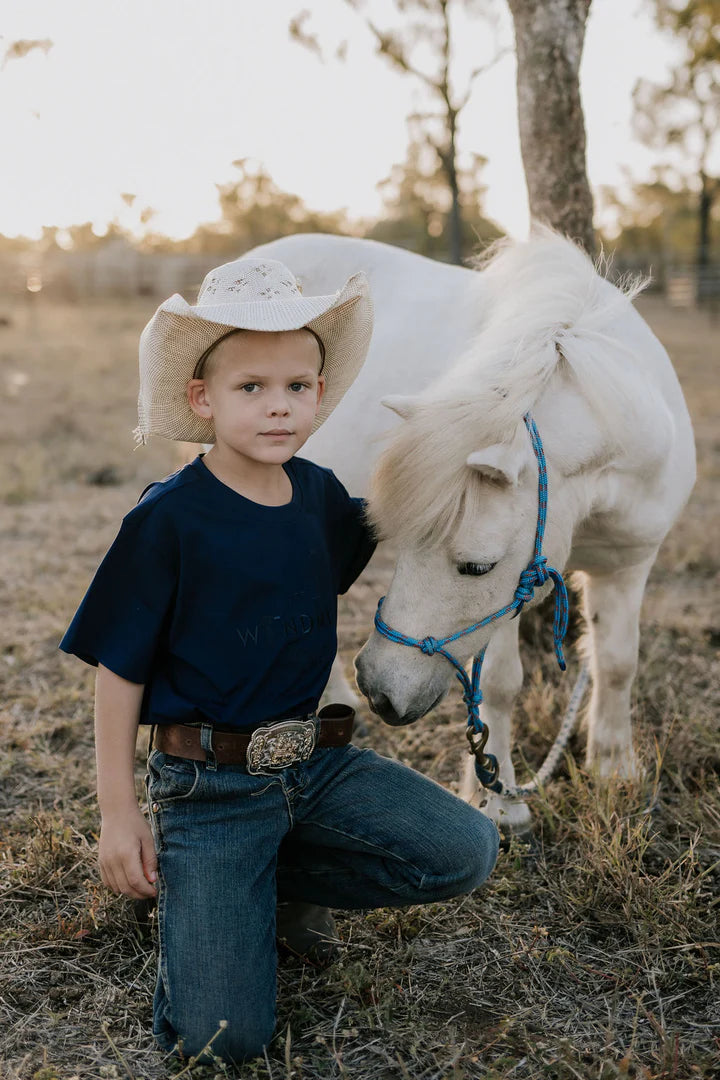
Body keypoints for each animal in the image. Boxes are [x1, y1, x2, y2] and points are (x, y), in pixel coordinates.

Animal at [245, 227, 695, 829]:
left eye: (475, 566)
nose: (379, 689)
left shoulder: (628, 565)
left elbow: (620, 662)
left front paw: (615, 767)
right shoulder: (513, 596)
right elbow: (501, 686)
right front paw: (498, 801)